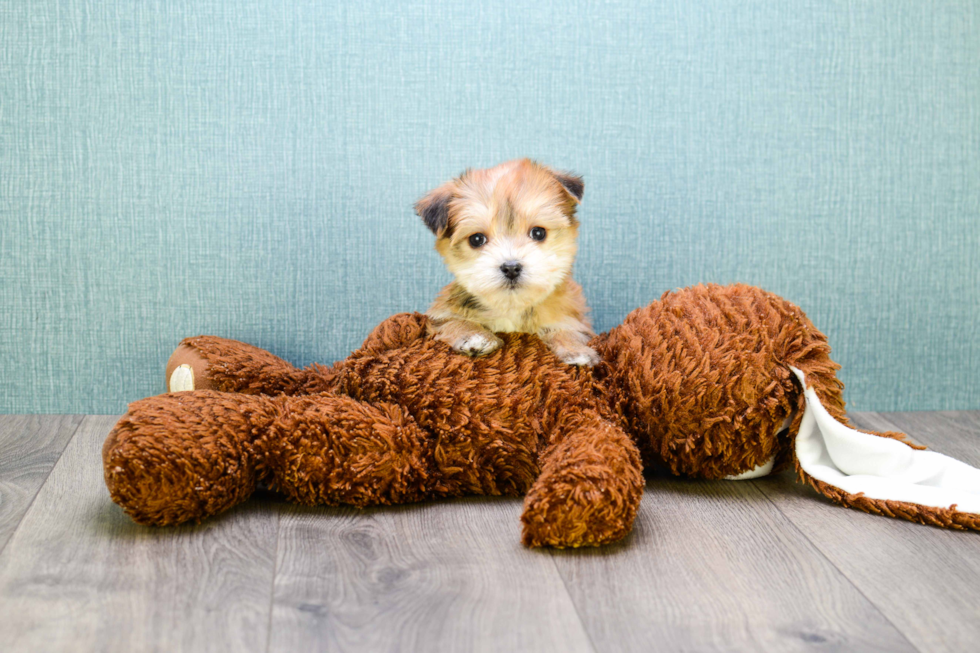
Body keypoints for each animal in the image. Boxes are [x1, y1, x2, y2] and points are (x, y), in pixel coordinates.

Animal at [414, 156, 596, 364]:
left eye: (538, 233)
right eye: (476, 239)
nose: (511, 268)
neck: (511, 307)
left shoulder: (572, 317)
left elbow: (567, 329)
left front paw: (575, 349)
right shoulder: (439, 315)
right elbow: (453, 321)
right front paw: (475, 335)